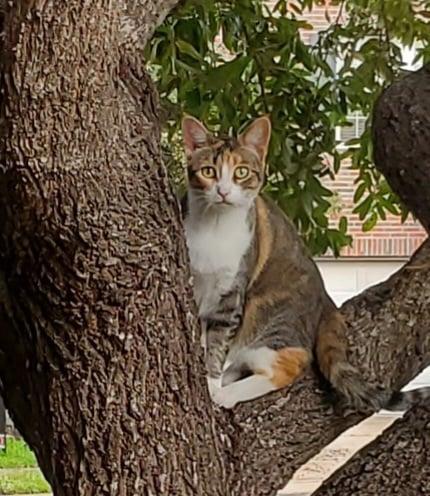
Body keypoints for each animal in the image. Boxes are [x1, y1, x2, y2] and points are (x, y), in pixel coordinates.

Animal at [181, 115, 430, 410]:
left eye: (241, 172)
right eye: (208, 171)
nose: (223, 191)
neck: (215, 227)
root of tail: (326, 299)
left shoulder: (231, 293)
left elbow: (217, 343)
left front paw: (210, 385)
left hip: (272, 316)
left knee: (290, 361)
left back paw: (226, 392)